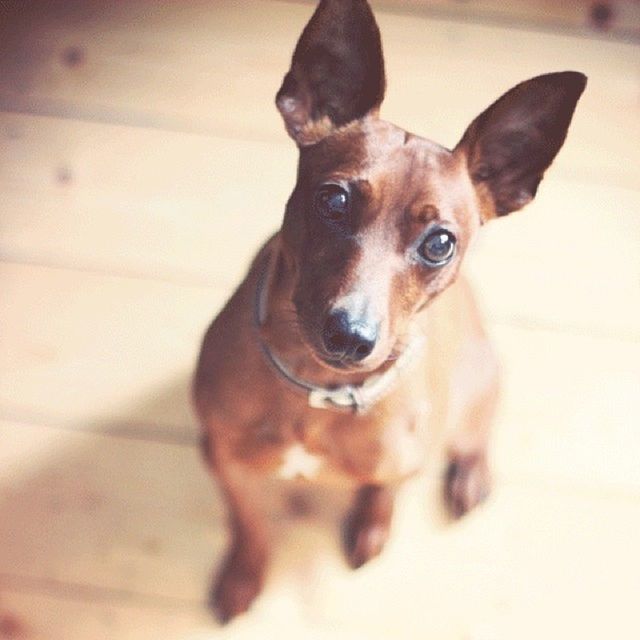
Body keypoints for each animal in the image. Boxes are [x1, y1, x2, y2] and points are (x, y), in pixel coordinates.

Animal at [192, 0, 588, 624]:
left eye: (440, 242)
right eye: (333, 199)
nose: (351, 336)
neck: (318, 391)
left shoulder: (402, 464)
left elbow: (383, 493)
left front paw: (371, 529)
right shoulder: (225, 461)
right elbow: (251, 524)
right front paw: (242, 576)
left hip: (477, 384)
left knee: (476, 428)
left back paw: (470, 475)